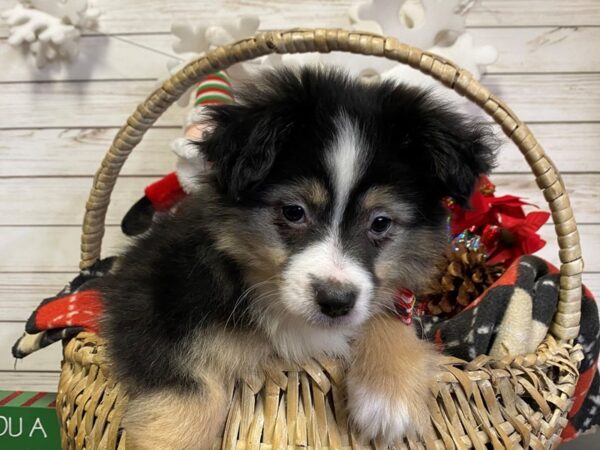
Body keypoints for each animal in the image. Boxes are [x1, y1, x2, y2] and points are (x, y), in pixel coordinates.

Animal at [103, 66, 496, 446]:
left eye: (381, 222)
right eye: (294, 211)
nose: (335, 302)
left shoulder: (394, 300)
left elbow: (390, 318)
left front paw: (389, 396)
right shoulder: (145, 294)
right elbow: (187, 380)